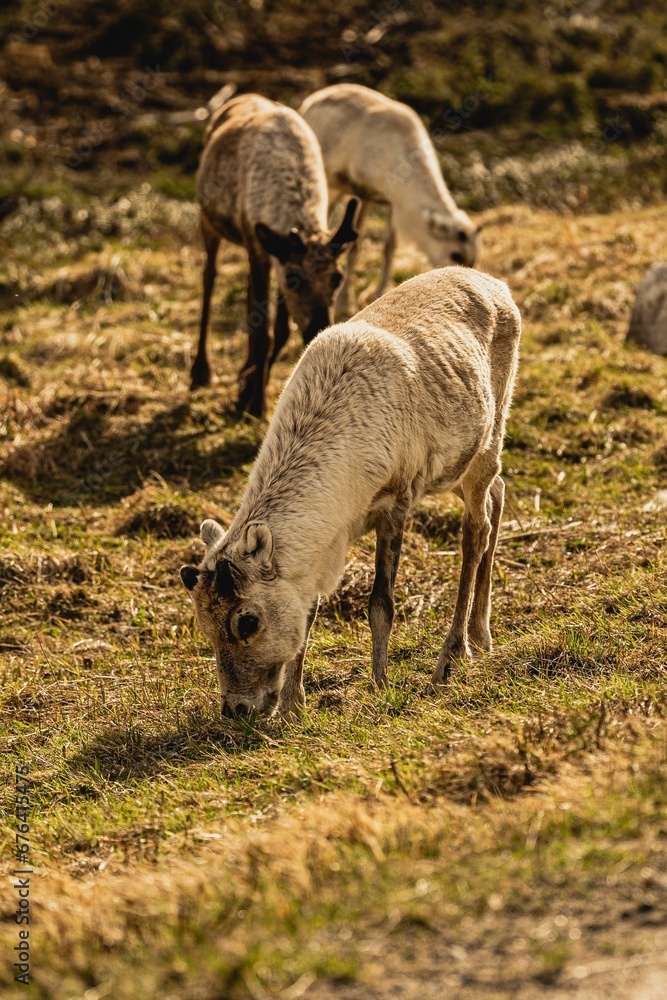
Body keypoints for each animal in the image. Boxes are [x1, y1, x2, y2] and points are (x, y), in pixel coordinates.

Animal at [179, 266, 521, 721]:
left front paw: (380, 685)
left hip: (490, 433)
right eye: (204, 627)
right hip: (459, 467)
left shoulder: (396, 501)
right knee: (498, 493)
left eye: (246, 621)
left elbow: (381, 604)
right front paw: (293, 704)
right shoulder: (325, 544)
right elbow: (309, 611)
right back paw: (482, 634)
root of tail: (497, 284)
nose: (236, 708)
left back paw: (452, 655)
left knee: (476, 529)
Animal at [191, 92, 360, 417]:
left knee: (246, 296)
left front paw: (248, 390)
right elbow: (263, 333)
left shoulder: (274, 257)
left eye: (338, 278)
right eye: (295, 280)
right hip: (208, 222)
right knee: (209, 279)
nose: (319, 327)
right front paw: (255, 402)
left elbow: (279, 331)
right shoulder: (262, 251)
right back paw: (200, 371)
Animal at [299, 83, 480, 313]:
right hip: (328, 182)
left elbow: (389, 247)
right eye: (456, 255)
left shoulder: (391, 203)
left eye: (473, 260)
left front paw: (380, 292)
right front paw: (342, 303)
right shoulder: (363, 193)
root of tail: (310, 101)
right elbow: (355, 247)